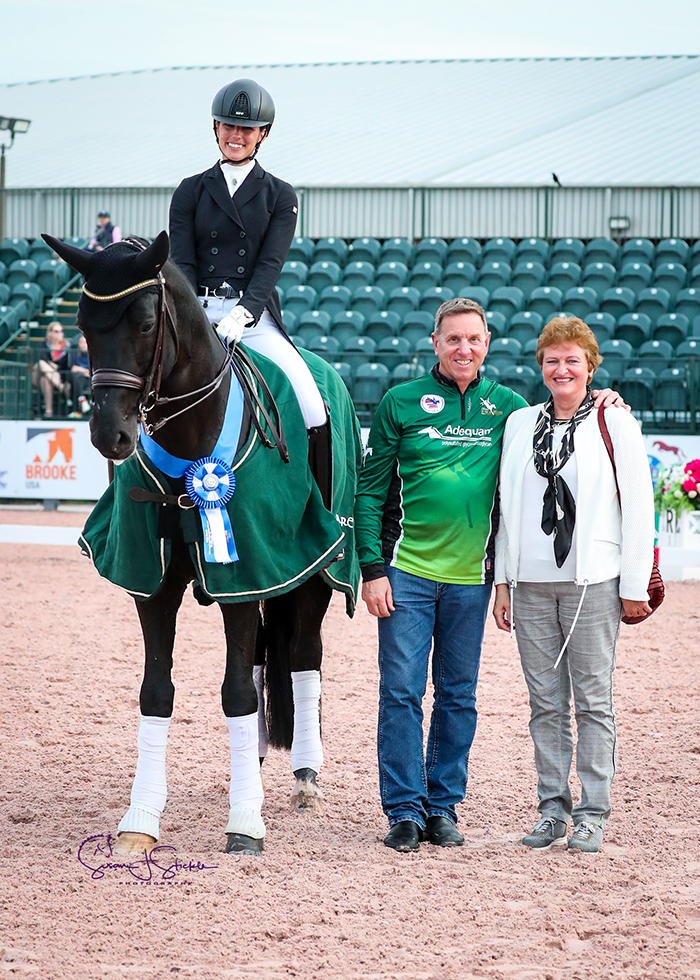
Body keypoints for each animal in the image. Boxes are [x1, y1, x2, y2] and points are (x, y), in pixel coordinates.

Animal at [43, 228, 360, 848]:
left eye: (146, 323)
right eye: (85, 324)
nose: (110, 436)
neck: (192, 440)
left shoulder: (246, 572)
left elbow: (235, 692)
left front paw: (245, 824)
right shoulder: (155, 584)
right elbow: (157, 692)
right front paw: (140, 820)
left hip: (315, 569)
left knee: (304, 656)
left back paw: (304, 777)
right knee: (264, 661)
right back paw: (253, 765)